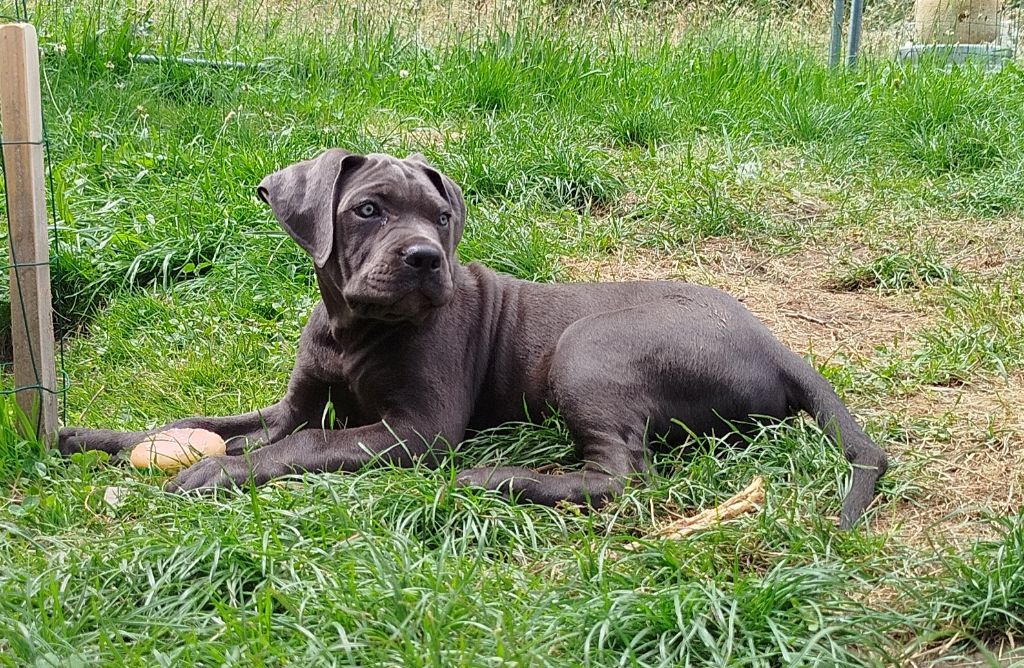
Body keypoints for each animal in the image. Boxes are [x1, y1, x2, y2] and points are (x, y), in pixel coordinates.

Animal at [59, 149, 887, 529]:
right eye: (366, 210)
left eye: (441, 216)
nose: (428, 258)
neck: (353, 329)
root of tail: (779, 345)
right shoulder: (292, 404)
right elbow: (204, 420)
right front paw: (87, 436)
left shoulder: (416, 430)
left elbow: (304, 446)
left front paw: (214, 473)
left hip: (589, 353)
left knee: (620, 477)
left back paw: (490, 479)